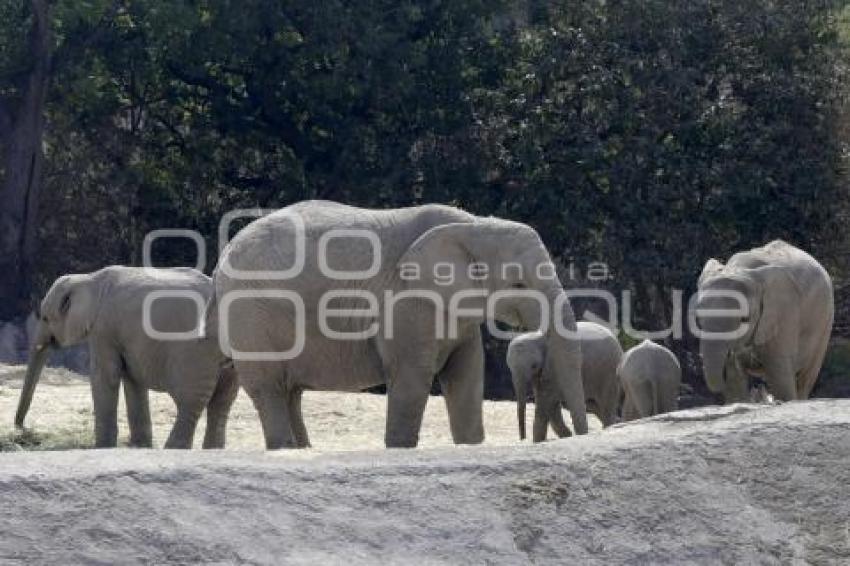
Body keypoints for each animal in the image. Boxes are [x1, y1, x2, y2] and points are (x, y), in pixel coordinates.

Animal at [16, 268, 235, 450]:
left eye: (45, 318)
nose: (24, 430)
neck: (89, 279)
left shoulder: (104, 328)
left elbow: (106, 376)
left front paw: (102, 447)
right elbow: (133, 380)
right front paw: (140, 446)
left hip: (196, 351)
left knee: (190, 401)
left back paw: (173, 448)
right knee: (221, 402)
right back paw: (213, 450)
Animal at [210, 202, 588, 450]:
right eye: (518, 284)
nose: (584, 436)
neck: (473, 225)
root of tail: (221, 259)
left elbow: (466, 373)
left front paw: (470, 445)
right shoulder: (407, 299)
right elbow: (413, 374)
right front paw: (400, 447)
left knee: (290, 391)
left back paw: (301, 448)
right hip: (251, 314)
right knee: (269, 387)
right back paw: (284, 447)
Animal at [696, 241, 828, 404]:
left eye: (744, 320)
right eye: (698, 320)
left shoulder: (783, 314)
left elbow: (780, 375)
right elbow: (736, 383)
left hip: (825, 322)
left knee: (805, 378)